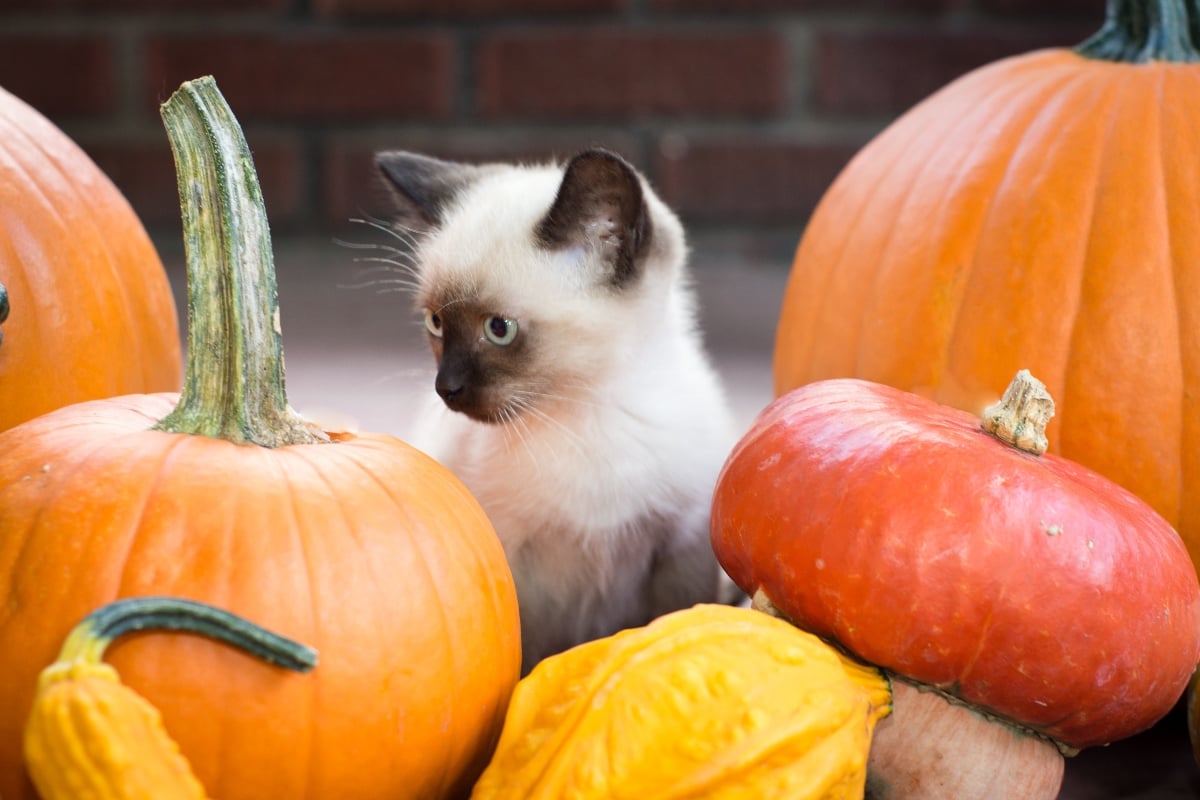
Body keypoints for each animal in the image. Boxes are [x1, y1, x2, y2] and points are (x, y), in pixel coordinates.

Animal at [374, 146, 734, 671]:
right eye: (435, 322)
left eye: (499, 329)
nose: (446, 389)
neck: (586, 417)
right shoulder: (514, 563)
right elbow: (524, 659)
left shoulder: (680, 546)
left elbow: (676, 618)